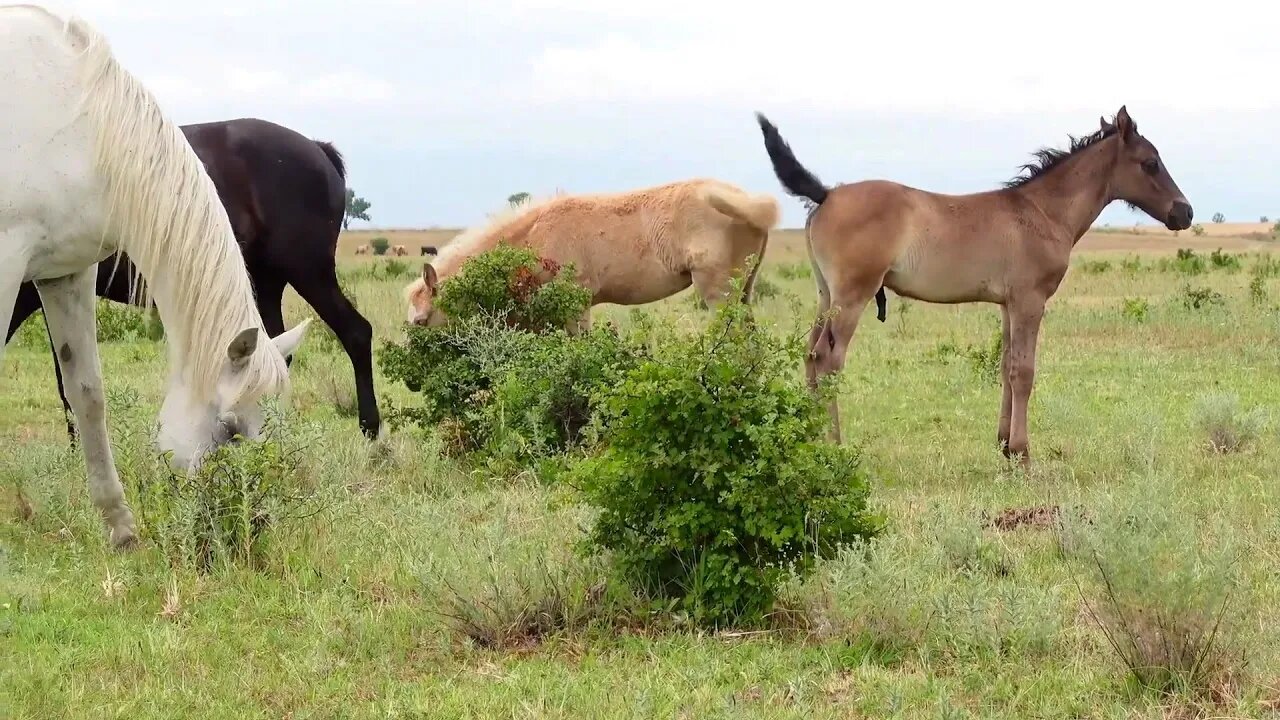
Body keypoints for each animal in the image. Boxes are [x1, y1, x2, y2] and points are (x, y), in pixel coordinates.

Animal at [404, 178, 778, 326]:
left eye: (421, 321)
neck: (536, 235)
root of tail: (747, 201)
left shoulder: (576, 305)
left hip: (719, 294)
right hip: (743, 291)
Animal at [752, 108, 1192, 461]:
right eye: (1150, 163)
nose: (1184, 212)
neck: (1043, 213)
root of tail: (826, 195)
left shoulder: (1008, 304)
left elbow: (1006, 366)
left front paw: (1004, 446)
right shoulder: (1030, 300)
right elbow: (1024, 371)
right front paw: (1022, 453)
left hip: (825, 294)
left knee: (810, 356)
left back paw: (811, 440)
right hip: (852, 295)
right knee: (829, 360)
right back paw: (834, 446)